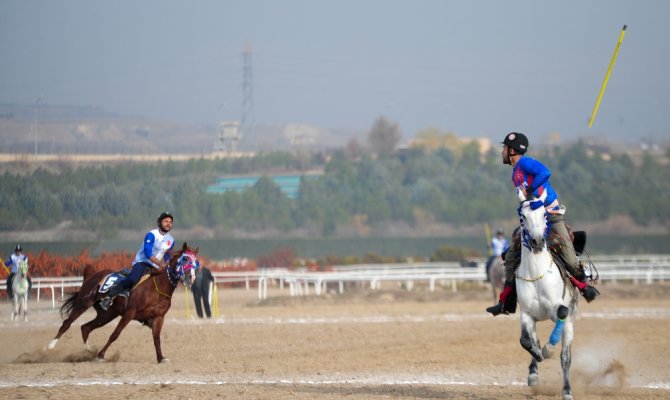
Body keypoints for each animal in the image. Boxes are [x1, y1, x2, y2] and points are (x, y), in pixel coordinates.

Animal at [48, 242, 197, 364]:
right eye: (185, 258)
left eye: (195, 262)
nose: (191, 277)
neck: (158, 286)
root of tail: (91, 275)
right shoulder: (129, 313)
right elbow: (115, 334)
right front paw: (100, 355)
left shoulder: (158, 318)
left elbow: (156, 338)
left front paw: (161, 358)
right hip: (84, 302)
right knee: (67, 324)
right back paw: (49, 347)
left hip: (107, 314)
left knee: (85, 327)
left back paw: (87, 352)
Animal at [516, 190, 580, 400]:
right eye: (522, 217)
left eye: (544, 214)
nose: (537, 242)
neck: (536, 275)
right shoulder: (527, 313)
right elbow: (526, 341)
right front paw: (537, 356)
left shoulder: (557, 308)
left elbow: (561, 313)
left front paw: (548, 350)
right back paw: (534, 373)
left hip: (570, 323)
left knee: (566, 357)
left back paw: (567, 391)